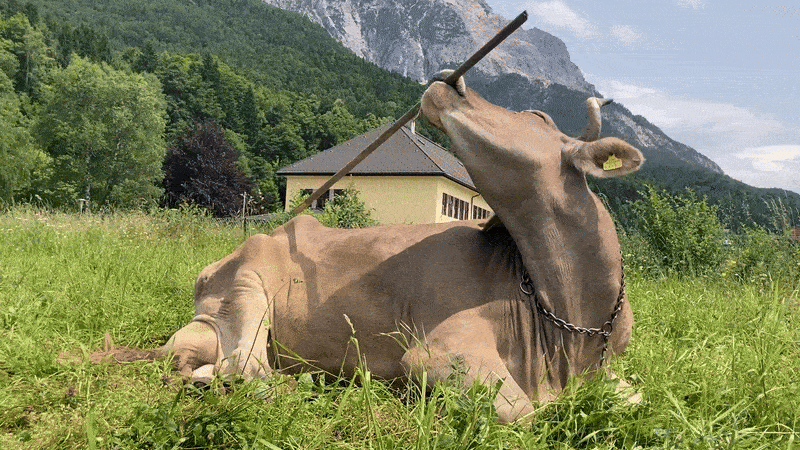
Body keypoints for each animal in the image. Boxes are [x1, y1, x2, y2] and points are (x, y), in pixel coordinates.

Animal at [98, 73, 644, 423]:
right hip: (247, 288)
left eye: (536, 114)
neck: (570, 321)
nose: (451, 80)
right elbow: (524, 413)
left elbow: (635, 398)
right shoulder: (439, 352)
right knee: (246, 371)